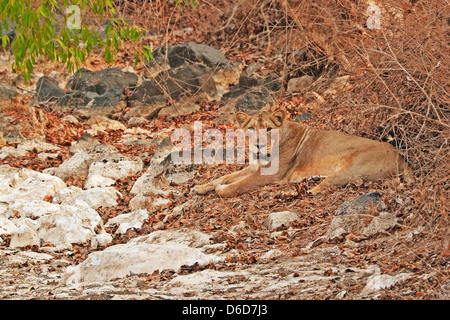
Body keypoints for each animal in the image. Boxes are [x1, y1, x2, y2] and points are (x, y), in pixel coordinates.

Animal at [192, 108, 414, 198]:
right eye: (251, 129)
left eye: (269, 129)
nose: (258, 144)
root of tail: (401, 156)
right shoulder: (254, 167)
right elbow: (226, 176)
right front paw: (201, 187)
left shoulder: (272, 173)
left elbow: (238, 184)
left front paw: (221, 189)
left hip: (352, 168)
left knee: (322, 187)